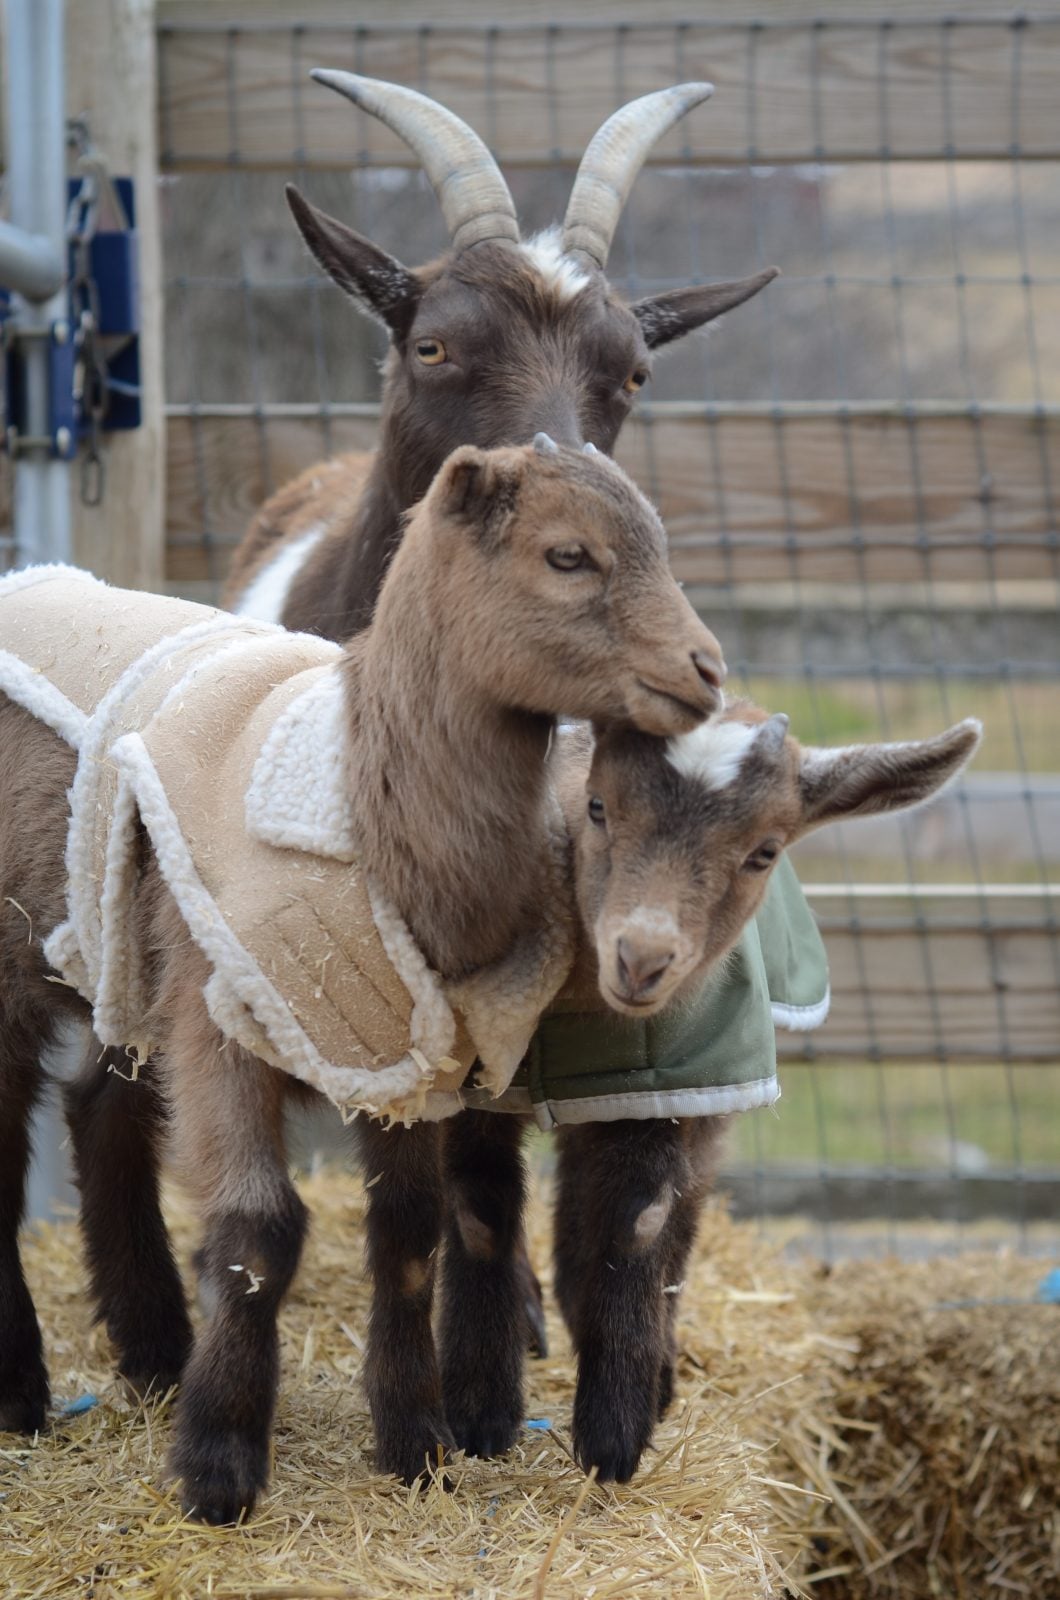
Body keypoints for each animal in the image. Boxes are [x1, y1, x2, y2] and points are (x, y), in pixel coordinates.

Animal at [0, 440, 724, 1523]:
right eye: (568, 555)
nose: (706, 673)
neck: (372, 799)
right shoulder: (223, 1022)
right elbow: (259, 1232)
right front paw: (219, 1467)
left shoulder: (400, 1048)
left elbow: (411, 1235)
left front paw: (415, 1444)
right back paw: (23, 1392)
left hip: (122, 969)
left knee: (100, 1112)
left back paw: (155, 1350)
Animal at [544, 706, 983, 1480]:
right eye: (597, 807)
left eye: (764, 851)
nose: (641, 960)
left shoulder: (657, 1082)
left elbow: (641, 1219)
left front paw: (614, 1439)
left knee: (672, 1206)